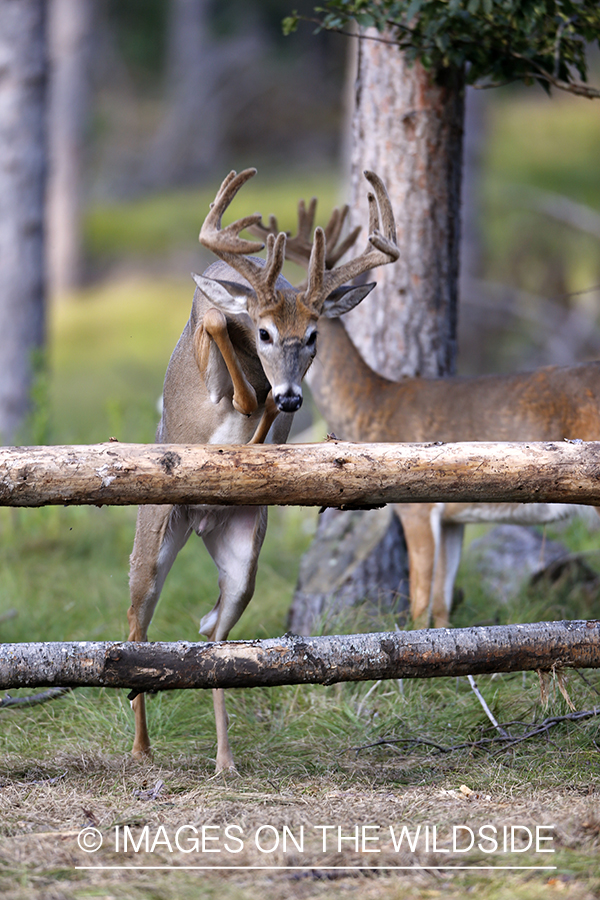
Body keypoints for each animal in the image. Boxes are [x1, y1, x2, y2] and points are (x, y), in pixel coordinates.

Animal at [126, 165, 398, 768]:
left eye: (314, 336)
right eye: (267, 332)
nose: (295, 396)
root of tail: (201, 519)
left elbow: (260, 412)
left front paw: (268, 408)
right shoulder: (209, 334)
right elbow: (217, 327)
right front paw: (252, 396)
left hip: (244, 551)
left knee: (214, 633)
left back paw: (225, 759)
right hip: (153, 533)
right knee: (135, 625)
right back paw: (141, 748)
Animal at [252, 197, 600, 628]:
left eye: (312, 327)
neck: (372, 406)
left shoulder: (417, 506)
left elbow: (419, 605)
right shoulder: (453, 519)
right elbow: (441, 605)